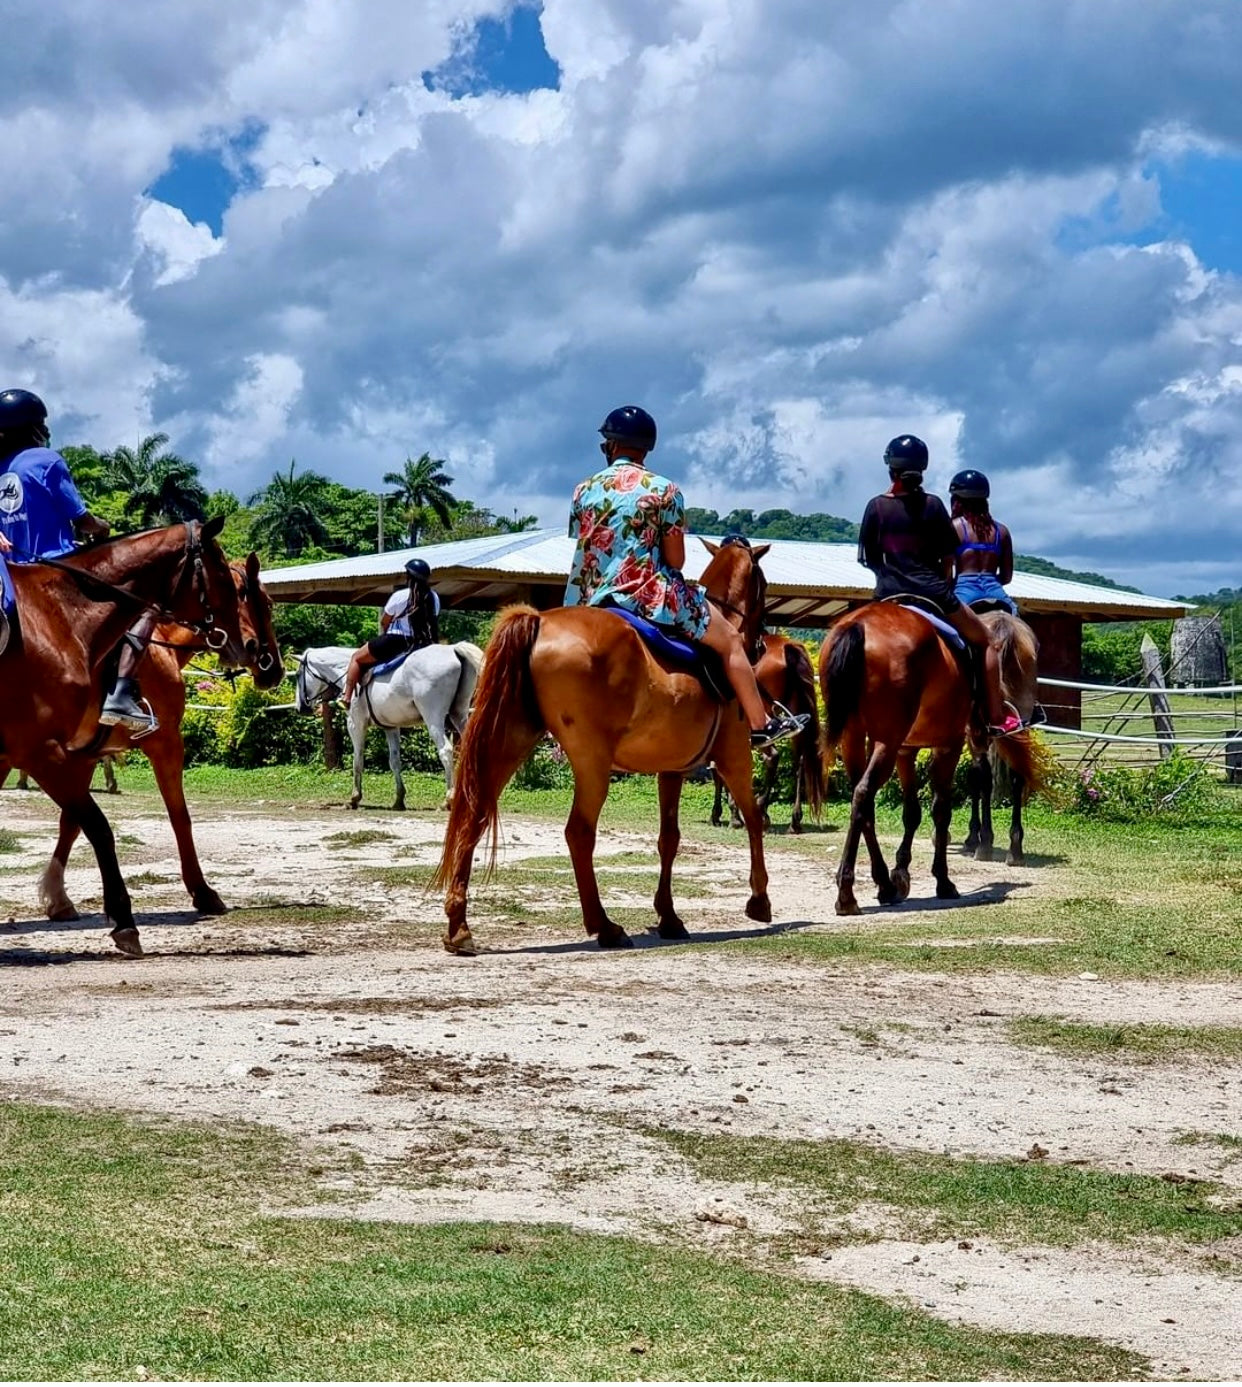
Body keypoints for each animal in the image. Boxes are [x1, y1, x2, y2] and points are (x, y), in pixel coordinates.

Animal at [0, 521, 249, 954]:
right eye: (223, 575)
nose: (246, 646)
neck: (60, 615)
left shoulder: (59, 753)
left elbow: (77, 822)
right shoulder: (42, 751)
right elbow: (102, 827)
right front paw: (124, 919)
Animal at [29, 549, 285, 920]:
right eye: (266, 603)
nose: (274, 668)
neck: (159, 647)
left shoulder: (84, 755)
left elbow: (72, 821)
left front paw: (58, 897)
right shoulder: (167, 743)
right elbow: (180, 816)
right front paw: (202, 891)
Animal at [432, 538, 771, 954]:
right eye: (763, 586)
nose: (759, 645)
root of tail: (540, 621)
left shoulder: (671, 768)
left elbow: (669, 838)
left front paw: (669, 916)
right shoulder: (734, 757)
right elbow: (753, 818)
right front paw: (759, 899)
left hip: (510, 741)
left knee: (475, 813)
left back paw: (458, 926)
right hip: (592, 763)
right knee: (579, 832)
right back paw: (604, 925)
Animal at [710, 632, 827, 832]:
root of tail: (787, 647)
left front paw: (727, 814)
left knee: (772, 756)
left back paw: (762, 810)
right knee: (800, 761)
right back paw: (794, 820)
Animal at [821, 604, 1043, 909]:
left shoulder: (906, 748)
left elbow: (912, 812)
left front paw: (901, 873)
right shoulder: (949, 745)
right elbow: (942, 810)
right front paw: (943, 880)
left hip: (854, 737)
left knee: (862, 800)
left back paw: (880, 885)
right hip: (889, 742)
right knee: (865, 793)